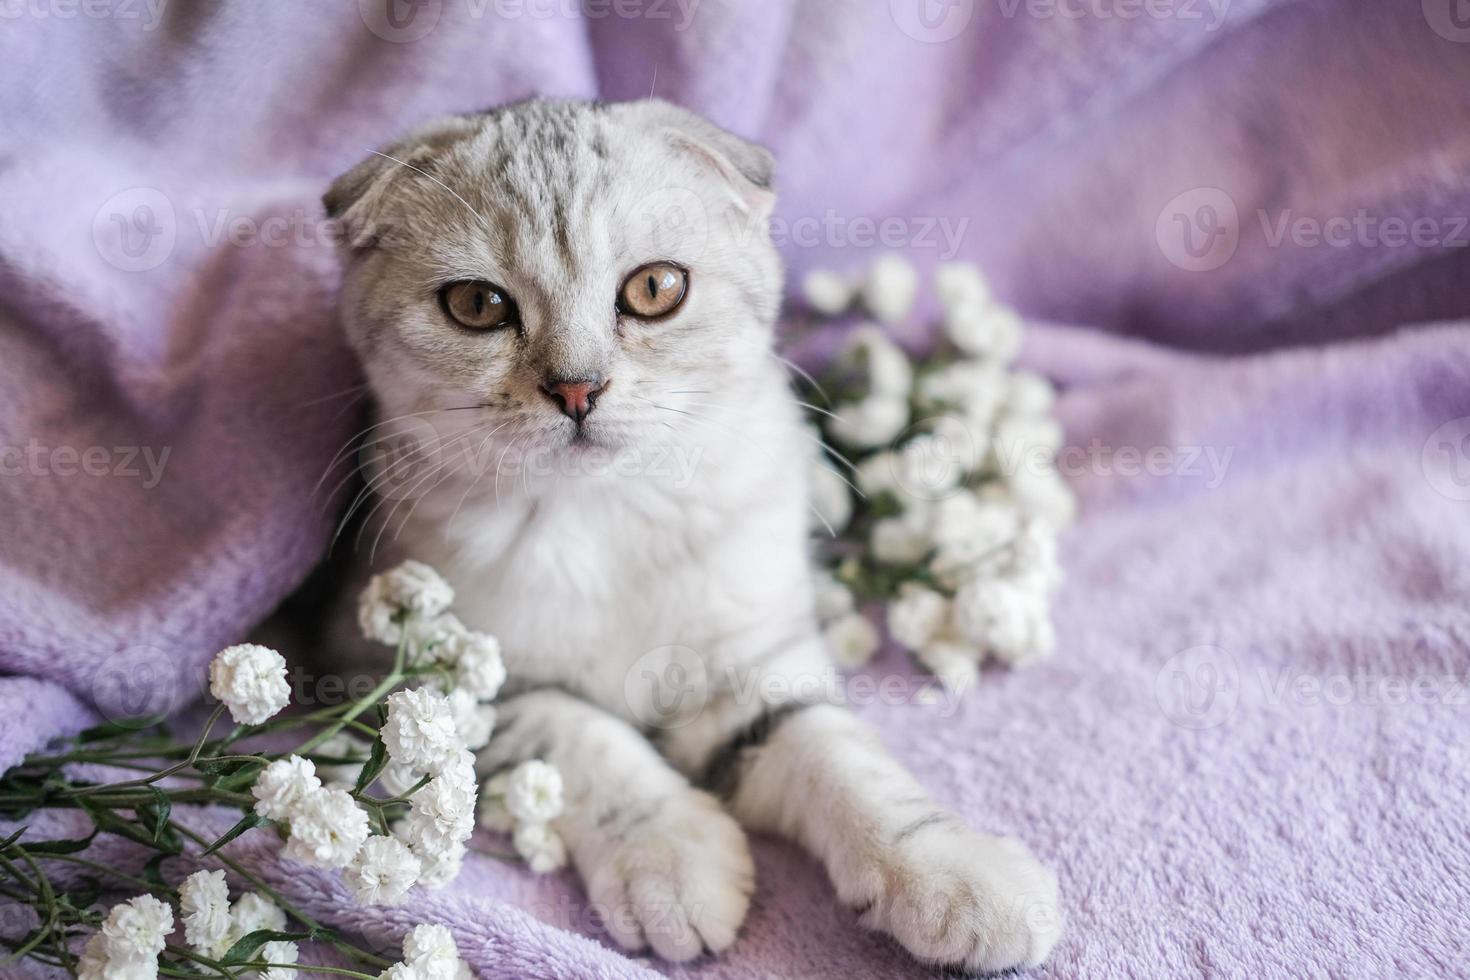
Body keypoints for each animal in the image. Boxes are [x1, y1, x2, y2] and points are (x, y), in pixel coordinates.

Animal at [321, 97, 1064, 975]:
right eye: (477, 306)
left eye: (654, 288)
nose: (578, 388)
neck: (600, 519)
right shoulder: (408, 673)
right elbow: (573, 733)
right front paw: (669, 858)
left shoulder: (751, 655)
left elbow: (837, 754)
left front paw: (954, 870)